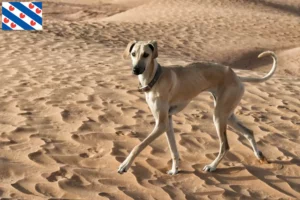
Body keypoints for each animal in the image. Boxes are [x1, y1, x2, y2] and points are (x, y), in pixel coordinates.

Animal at [118, 39, 278, 174]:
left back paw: (212, 166)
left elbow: (138, 146)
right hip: (228, 114)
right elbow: (173, 149)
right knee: (249, 132)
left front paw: (125, 165)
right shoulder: (167, 121)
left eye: (146, 54)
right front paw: (175, 170)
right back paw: (259, 155)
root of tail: (236, 76)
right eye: (133, 54)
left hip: (218, 116)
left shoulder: (161, 123)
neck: (156, 77)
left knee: (225, 146)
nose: (135, 70)